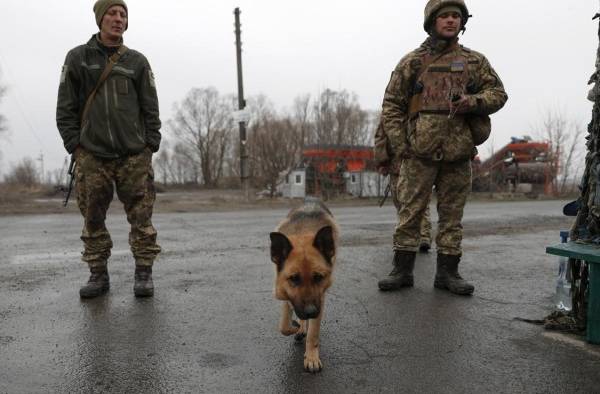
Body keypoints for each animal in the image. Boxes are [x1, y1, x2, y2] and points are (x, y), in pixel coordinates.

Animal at [270, 200, 338, 372]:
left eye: (318, 277)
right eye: (294, 278)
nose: (311, 312)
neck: (303, 235)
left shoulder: (320, 298)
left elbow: (313, 333)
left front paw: (312, 357)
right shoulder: (286, 291)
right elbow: (283, 326)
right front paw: (295, 327)